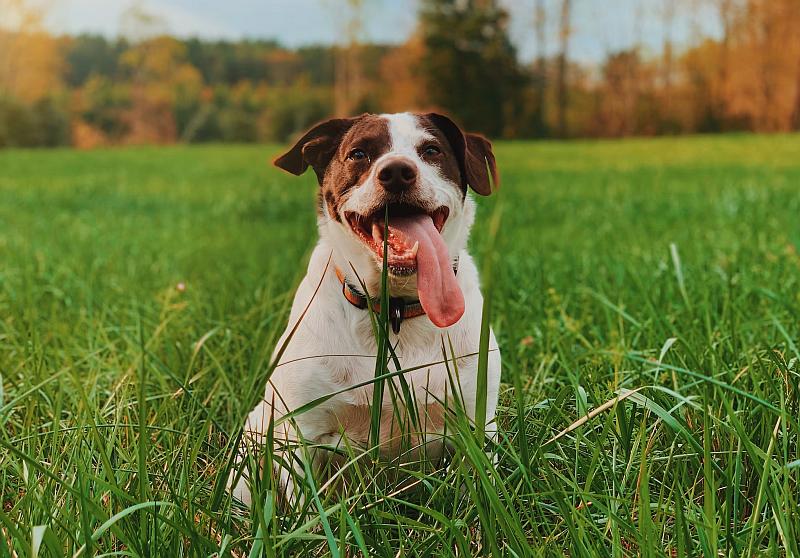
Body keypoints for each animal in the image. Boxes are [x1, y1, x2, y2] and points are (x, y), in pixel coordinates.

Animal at [231, 112, 504, 508]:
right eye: (358, 153)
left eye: (431, 150)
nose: (397, 172)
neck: (395, 310)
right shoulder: (301, 433)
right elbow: (302, 509)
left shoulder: (476, 426)